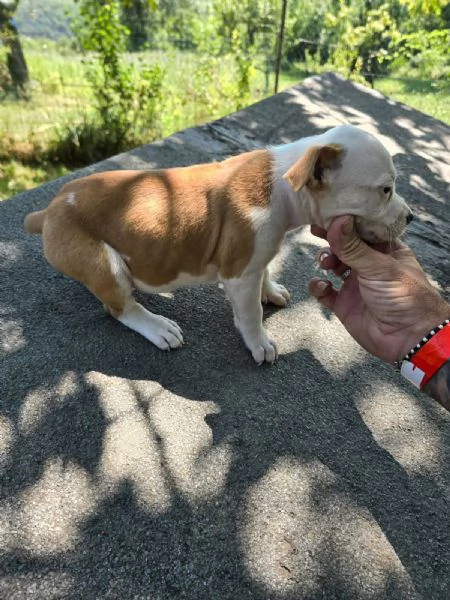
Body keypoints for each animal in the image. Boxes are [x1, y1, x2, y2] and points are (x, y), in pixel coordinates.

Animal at [24, 124, 412, 364]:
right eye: (385, 189)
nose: (410, 217)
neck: (285, 186)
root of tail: (50, 211)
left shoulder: (258, 256)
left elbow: (266, 270)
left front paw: (271, 290)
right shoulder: (240, 276)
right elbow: (251, 314)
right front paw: (260, 344)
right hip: (104, 264)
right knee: (120, 308)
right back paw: (158, 327)